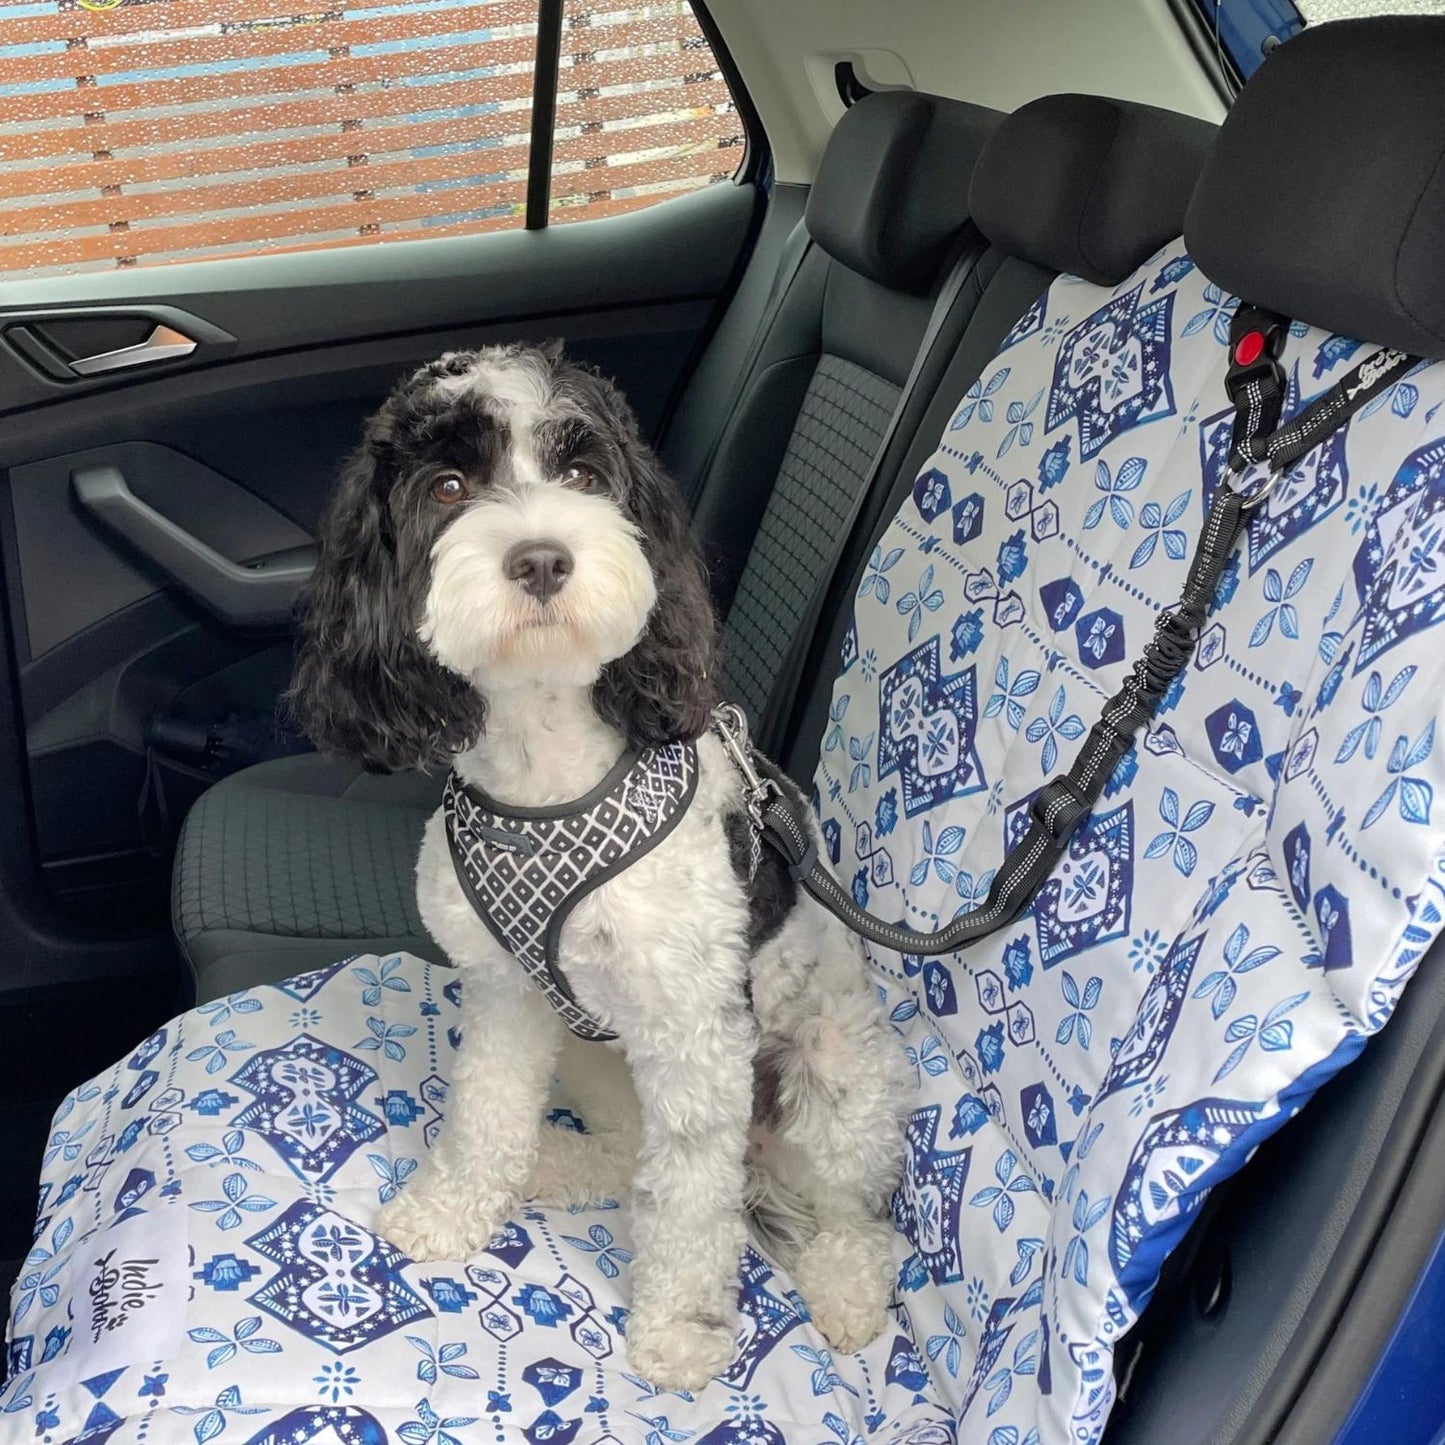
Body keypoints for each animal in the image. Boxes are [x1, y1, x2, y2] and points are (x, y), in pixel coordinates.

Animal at [287, 343, 907, 1392]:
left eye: (582, 474)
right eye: (448, 487)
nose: (541, 558)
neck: (547, 778)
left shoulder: (695, 1033)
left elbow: (691, 1203)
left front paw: (682, 1331)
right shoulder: (505, 992)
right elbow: (485, 1109)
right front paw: (452, 1207)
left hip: (835, 1081)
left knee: (852, 1218)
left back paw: (848, 1292)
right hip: (595, 1053)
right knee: (626, 1155)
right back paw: (549, 1165)